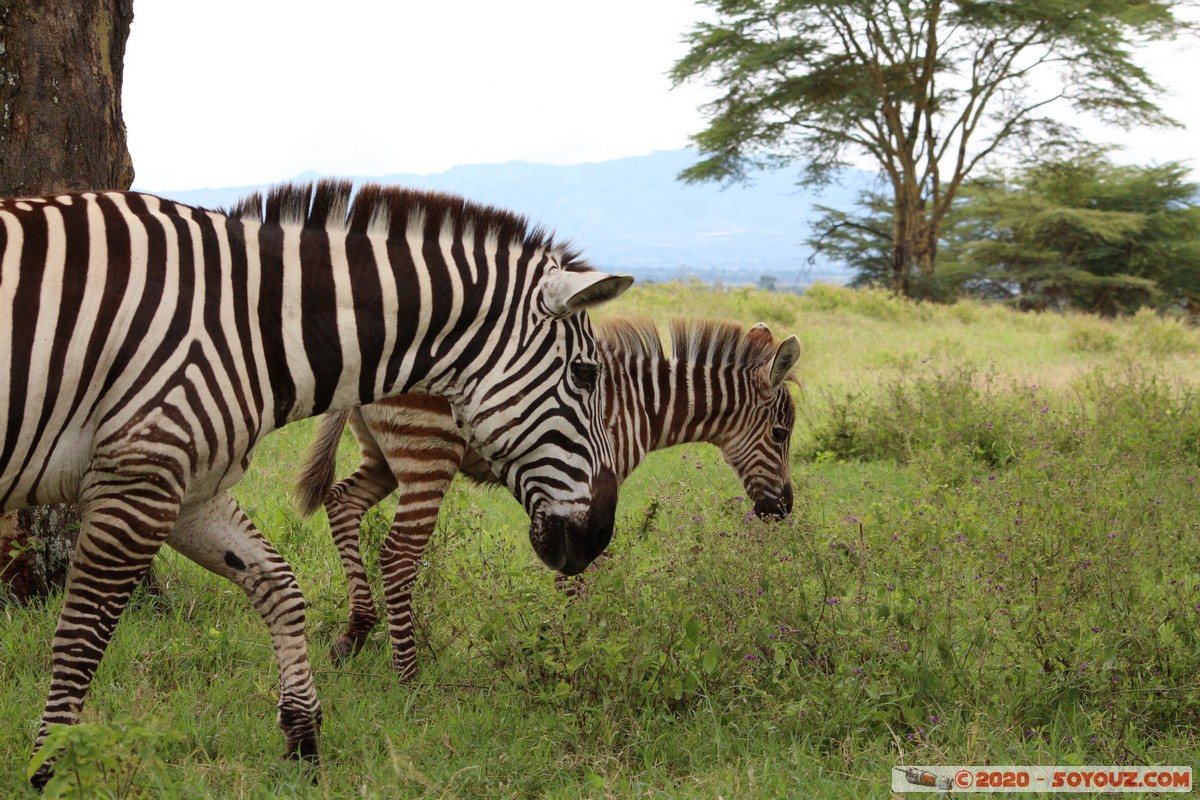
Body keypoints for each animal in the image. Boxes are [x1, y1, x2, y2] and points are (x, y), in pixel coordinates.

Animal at [0, 178, 633, 786]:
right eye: (585, 374)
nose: (599, 535)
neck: (250, 327)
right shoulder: (139, 478)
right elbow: (80, 639)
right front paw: (49, 768)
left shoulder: (188, 487)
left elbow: (279, 585)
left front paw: (302, 737)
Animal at [295, 316, 801, 681]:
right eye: (780, 434)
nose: (782, 510)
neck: (640, 404)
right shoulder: (591, 481)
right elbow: (577, 573)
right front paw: (572, 649)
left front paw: (564, 642)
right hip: (427, 453)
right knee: (398, 554)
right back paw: (409, 676)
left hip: (382, 456)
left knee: (341, 503)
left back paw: (353, 634)